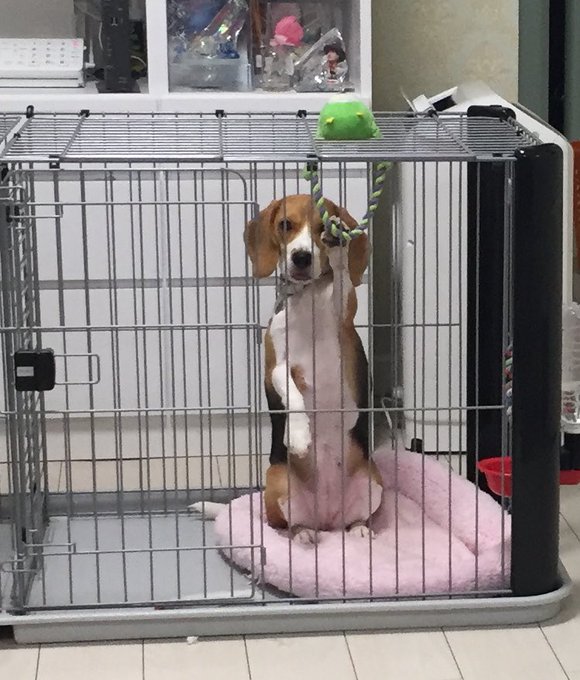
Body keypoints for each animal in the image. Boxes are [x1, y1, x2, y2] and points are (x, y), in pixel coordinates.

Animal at [245, 194, 383, 544]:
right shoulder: (276, 365)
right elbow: (289, 388)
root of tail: (327, 519)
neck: (307, 297)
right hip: (277, 482)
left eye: (323, 227)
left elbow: (344, 277)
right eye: (285, 224)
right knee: (287, 524)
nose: (302, 257)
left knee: (355, 519)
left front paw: (338, 247)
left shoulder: (343, 312)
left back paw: (359, 530)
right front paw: (298, 435)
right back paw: (303, 535)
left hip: (373, 481)